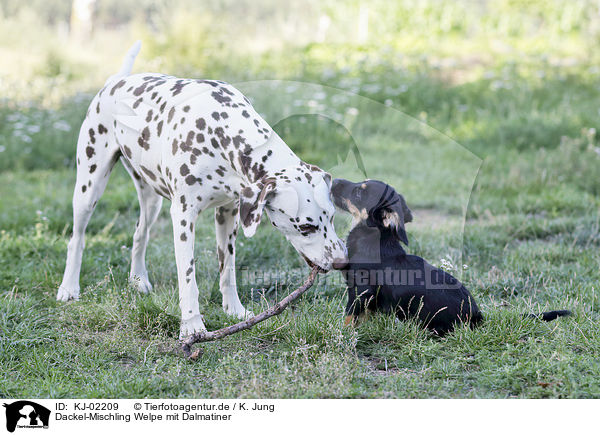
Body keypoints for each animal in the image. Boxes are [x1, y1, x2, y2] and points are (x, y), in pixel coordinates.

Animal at [57, 41, 346, 340]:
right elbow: (188, 278)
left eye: (332, 217)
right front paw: (192, 326)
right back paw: (69, 288)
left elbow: (228, 269)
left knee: (140, 235)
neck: (219, 129)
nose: (341, 262)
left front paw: (234, 310)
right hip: (89, 189)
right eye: (306, 227)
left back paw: (138, 280)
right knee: (76, 240)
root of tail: (117, 80)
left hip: (151, 202)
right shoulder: (184, 216)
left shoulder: (229, 213)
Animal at [332, 179, 572, 336]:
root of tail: (478, 317)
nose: (334, 180)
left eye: (359, 192)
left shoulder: (360, 292)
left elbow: (348, 318)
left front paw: (342, 335)